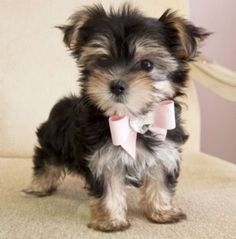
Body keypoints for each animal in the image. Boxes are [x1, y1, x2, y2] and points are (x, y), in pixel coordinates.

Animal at [22, 3, 208, 232]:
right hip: (52, 143)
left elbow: (160, 183)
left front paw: (162, 212)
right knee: (45, 162)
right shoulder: (104, 159)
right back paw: (38, 186)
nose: (117, 85)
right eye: (103, 60)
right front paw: (110, 221)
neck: (131, 121)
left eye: (147, 65)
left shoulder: (164, 152)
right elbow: (109, 191)